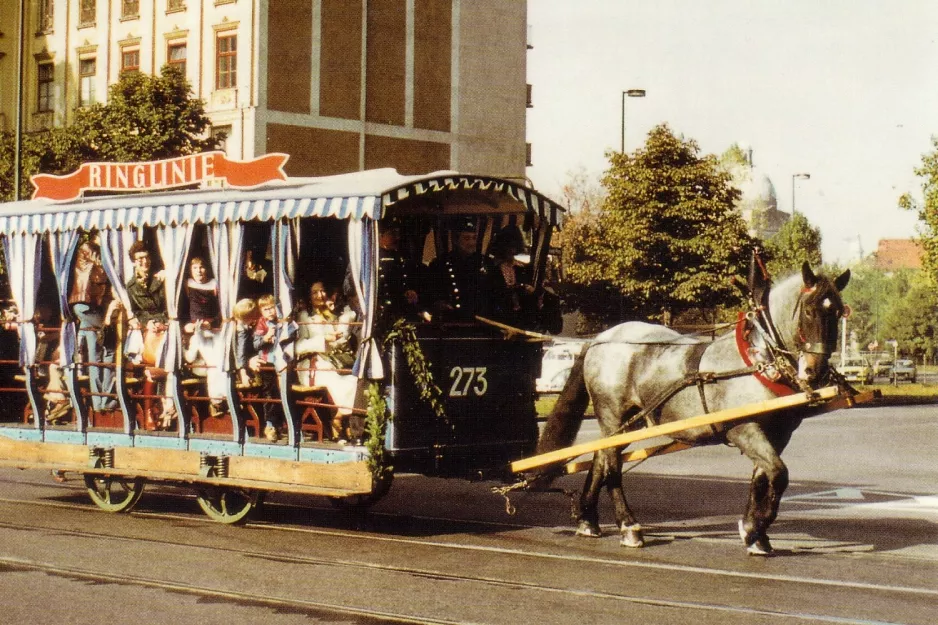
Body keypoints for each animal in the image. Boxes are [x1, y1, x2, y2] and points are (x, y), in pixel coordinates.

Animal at [532, 260, 852, 552]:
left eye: (838, 312)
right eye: (809, 310)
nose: (814, 371)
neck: (758, 359)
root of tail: (601, 339)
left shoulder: (778, 435)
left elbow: (763, 478)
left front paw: (754, 532)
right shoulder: (743, 429)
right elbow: (778, 474)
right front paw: (755, 530)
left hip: (629, 420)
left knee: (601, 457)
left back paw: (588, 520)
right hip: (612, 413)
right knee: (611, 466)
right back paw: (628, 526)